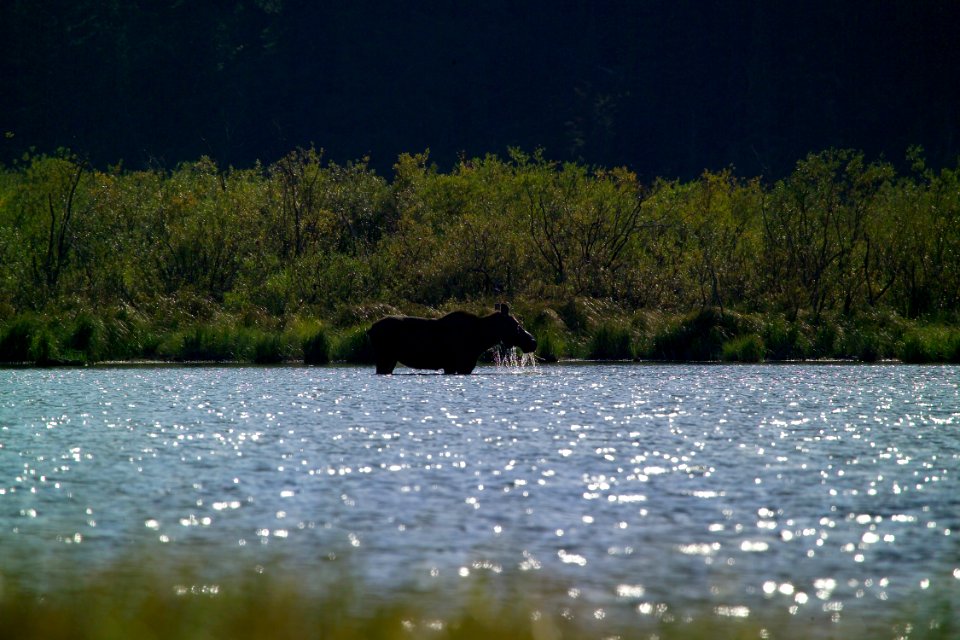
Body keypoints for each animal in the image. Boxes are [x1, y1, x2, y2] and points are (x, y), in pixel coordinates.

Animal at [368, 304, 536, 376]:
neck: (482, 339)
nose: (533, 342)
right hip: (384, 357)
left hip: (390, 359)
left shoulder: (450, 365)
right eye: (517, 324)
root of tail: (369, 330)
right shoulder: (462, 364)